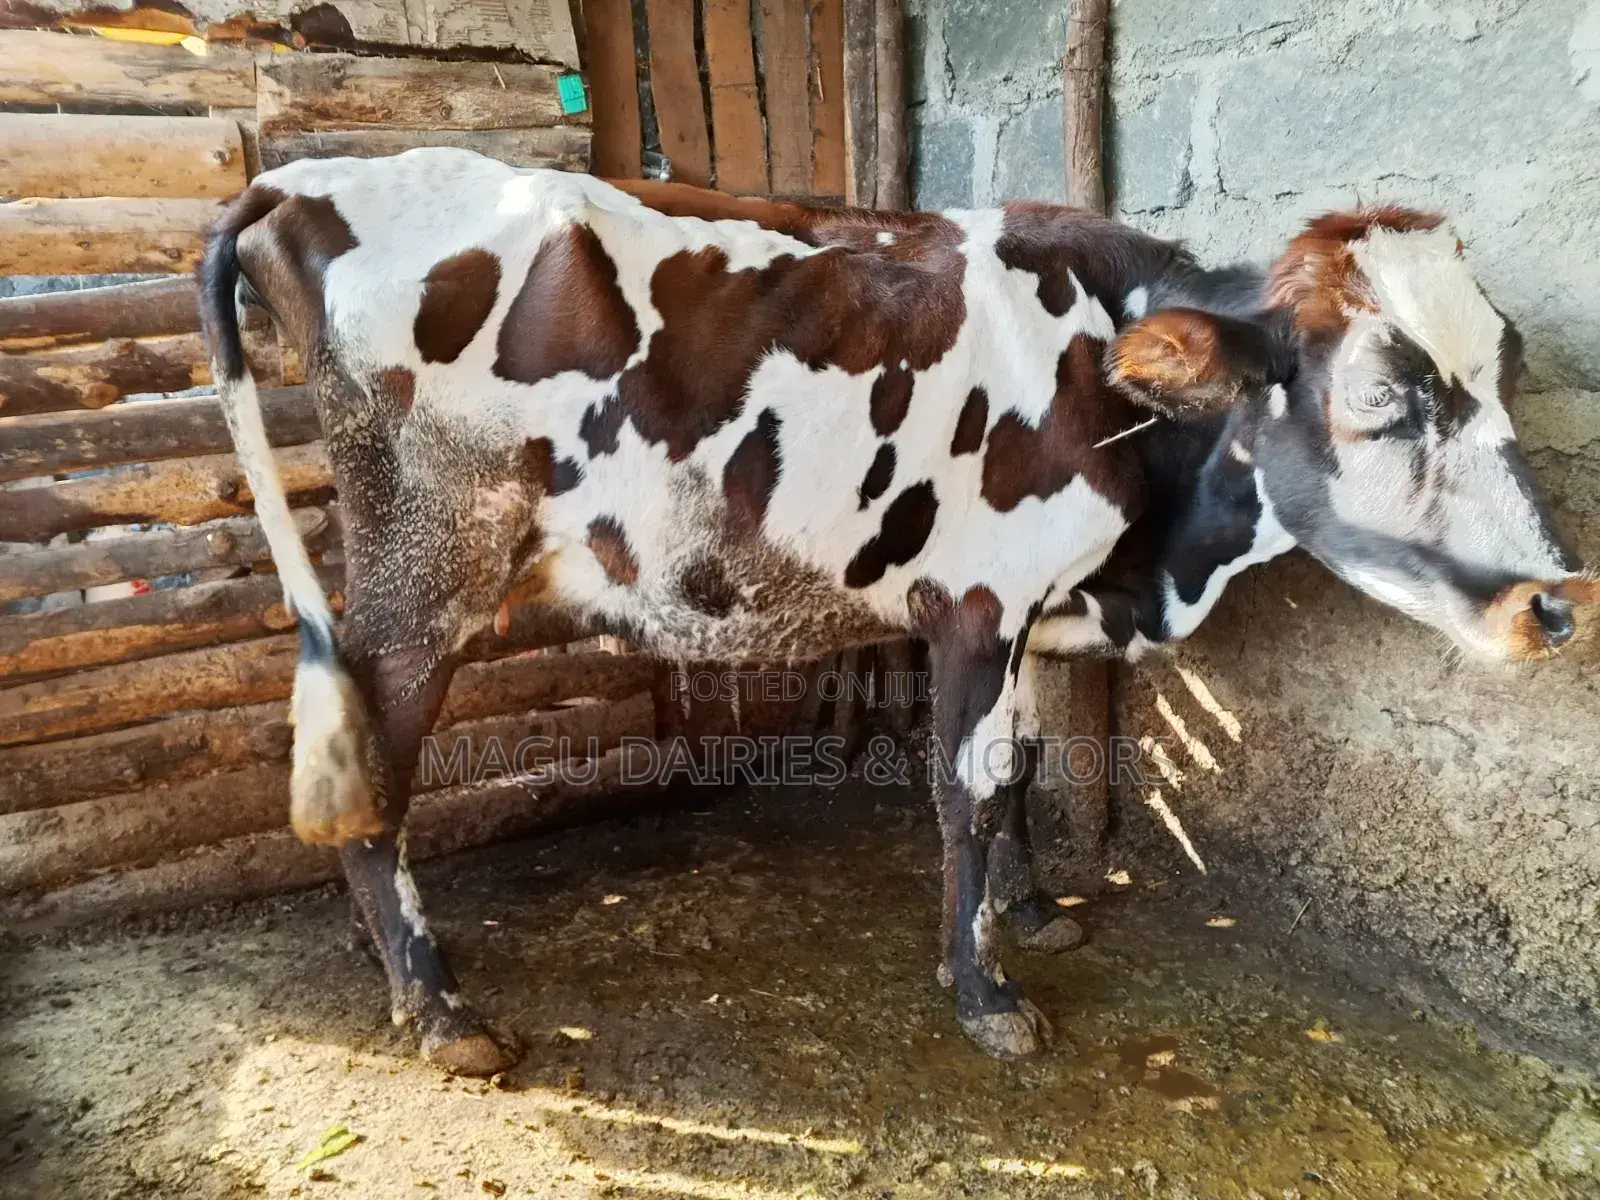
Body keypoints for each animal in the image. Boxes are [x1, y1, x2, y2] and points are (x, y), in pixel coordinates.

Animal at [198, 150, 1591, 1075]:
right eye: (1384, 403)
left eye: (1509, 371)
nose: (1557, 601)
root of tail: (308, 175)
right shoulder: (976, 603)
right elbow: (963, 792)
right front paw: (984, 995)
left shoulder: (1038, 604)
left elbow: (1023, 764)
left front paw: (1032, 911)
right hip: (421, 577)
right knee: (375, 766)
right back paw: (436, 1009)